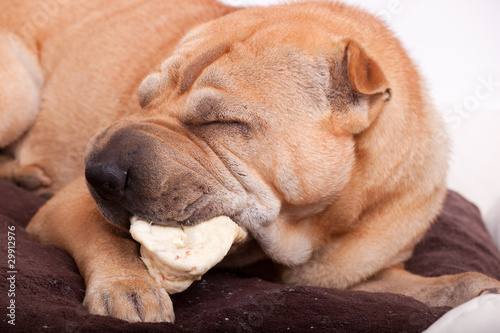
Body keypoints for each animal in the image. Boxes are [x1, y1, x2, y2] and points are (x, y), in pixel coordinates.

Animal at [0, 0, 500, 322]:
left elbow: (423, 285)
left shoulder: (352, 276)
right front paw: (129, 286)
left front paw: (477, 289)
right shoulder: (69, 208)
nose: (98, 172)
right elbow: (105, 237)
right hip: (20, 94)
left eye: (220, 122)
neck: (308, 228)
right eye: (142, 101)